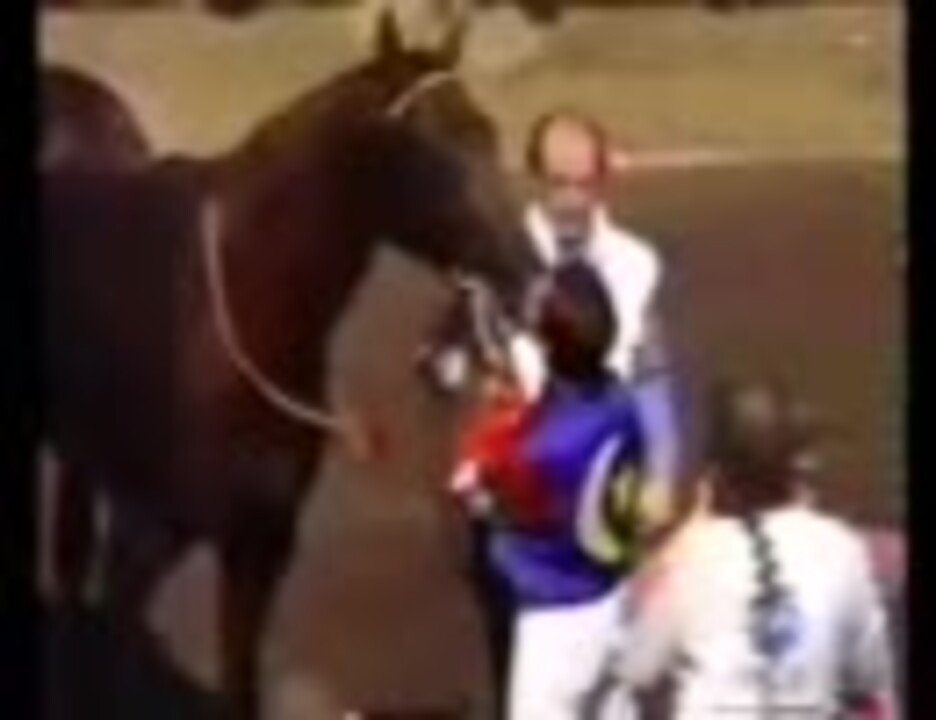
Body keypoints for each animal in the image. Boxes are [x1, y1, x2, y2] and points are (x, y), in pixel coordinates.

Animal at [41, 10, 538, 718]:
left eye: (488, 133)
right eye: (424, 148)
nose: (528, 275)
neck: (228, 312)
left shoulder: (261, 542)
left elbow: (240, 682)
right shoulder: (144, 540)